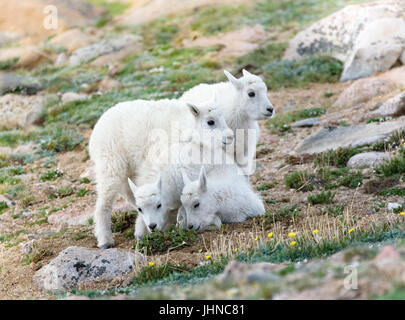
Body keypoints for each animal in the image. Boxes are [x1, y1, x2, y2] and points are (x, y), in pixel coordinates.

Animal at [88, 95, 234, 248]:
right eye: (210, 121)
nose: (230, 136)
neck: (186, 125)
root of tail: (96, 130)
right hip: (110, 163)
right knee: (104, 201)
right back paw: (105, 240)